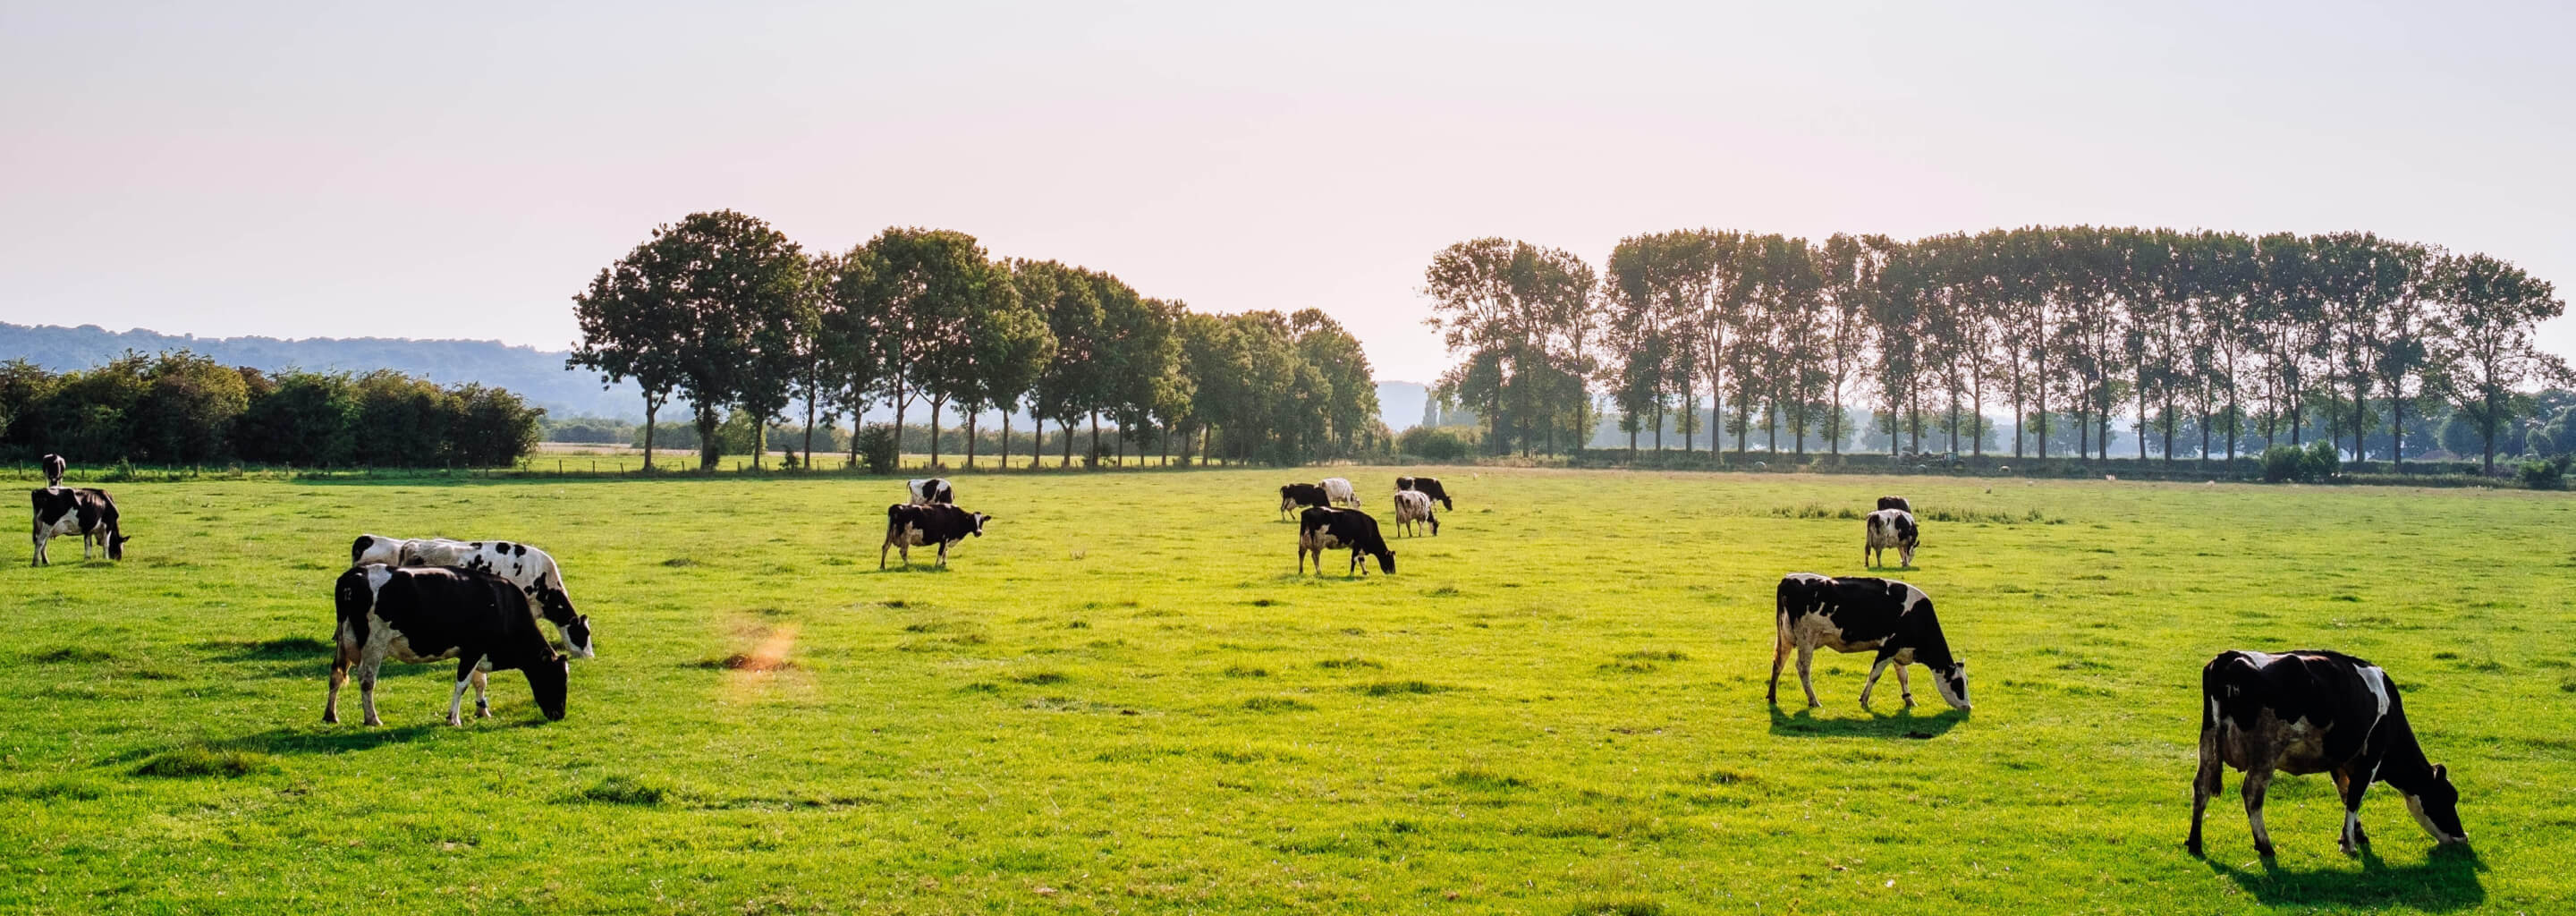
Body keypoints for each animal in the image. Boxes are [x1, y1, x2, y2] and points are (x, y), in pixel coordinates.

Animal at [326, 564, 569, 726]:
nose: (560, 714)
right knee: (367, 680)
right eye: (556, 678)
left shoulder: (475, 652)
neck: (503, 605)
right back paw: (372, 718)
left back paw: (331, 715)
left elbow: (479, 681)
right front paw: (453, 718)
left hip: (343, 641)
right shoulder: (473, 649)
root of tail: (354, 574)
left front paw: (483, 711)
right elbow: (462, 684)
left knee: (336, 674)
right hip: (374, 643)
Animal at [1769, 573, 1968, 712]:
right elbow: (1875, 674)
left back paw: (1772, 697)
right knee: (1803, 668)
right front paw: (1864, 700)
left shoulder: (1899, 650)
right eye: (1958, 683)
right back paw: (1813, 701)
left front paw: (1909, 700)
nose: (1968, 707)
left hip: (1785, 637)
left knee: (1778, 662)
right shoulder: (1888, 647)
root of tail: (1788, 579)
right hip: (1806, 639)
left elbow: (1903, 676)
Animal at [2189, 650, 2468, 858]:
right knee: (2252, 795)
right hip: (2265, 752)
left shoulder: (2340, 760)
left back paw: (2195, 843)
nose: (2462, 837)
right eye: (2447, 798)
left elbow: (2345, 794)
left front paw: (2355, 834)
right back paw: (2265, 845)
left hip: (2208, 741)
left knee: (2201, 786)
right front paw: (2350, 845)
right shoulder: (2371, 758)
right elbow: (2355, 797)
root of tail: (2230, 657)